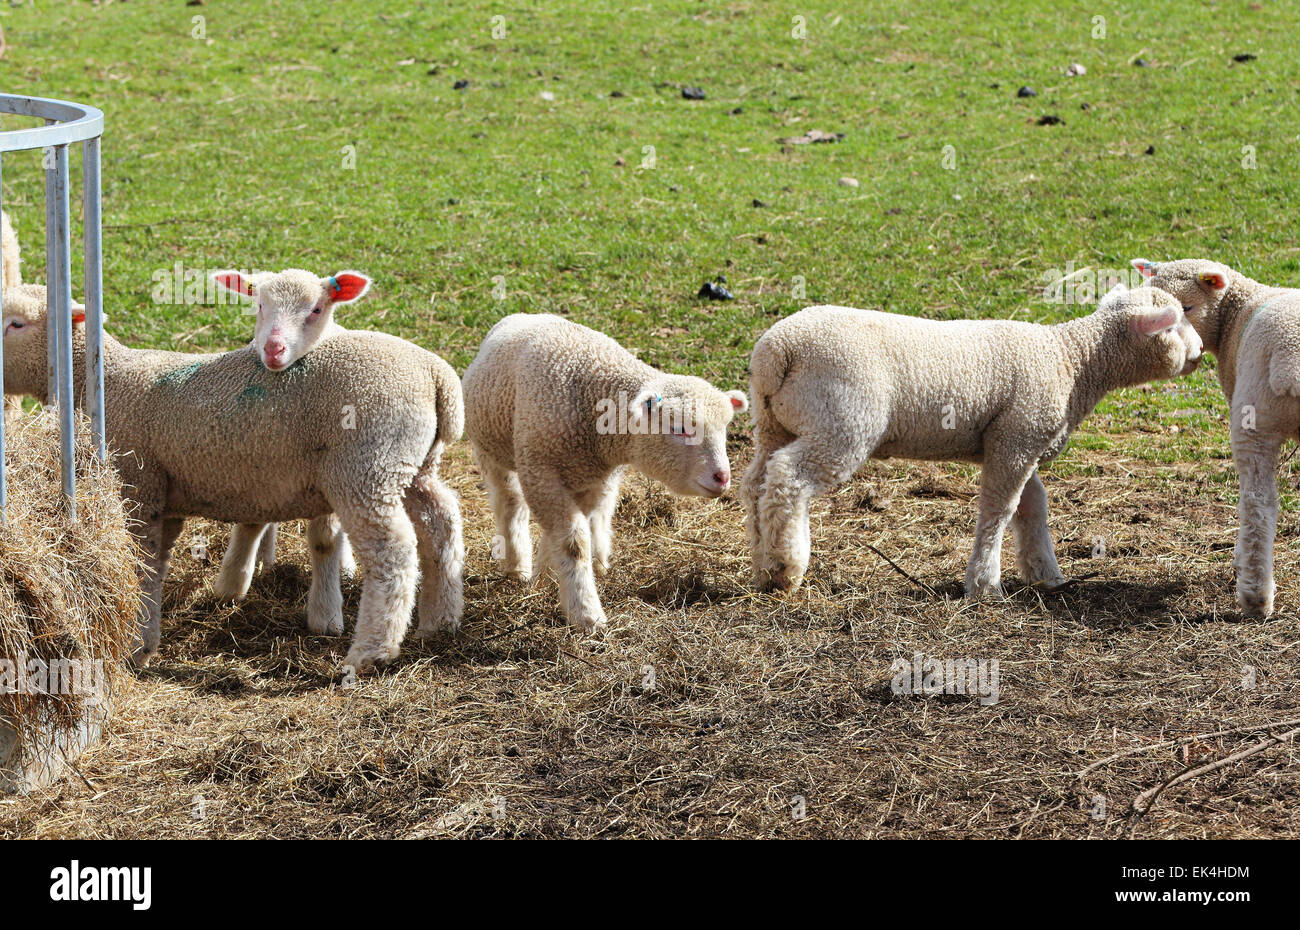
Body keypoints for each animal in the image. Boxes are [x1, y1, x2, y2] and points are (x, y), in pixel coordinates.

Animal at [0, 282, 467, 671]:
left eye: (16, 323)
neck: (100, 377)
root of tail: (436, 374)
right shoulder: (164, 495)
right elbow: (157, 564)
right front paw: (145, 640)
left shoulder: (140, 486)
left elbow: (142, 565)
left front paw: (135, 645)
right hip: (411, 465)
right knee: (440, 522)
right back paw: (440, 620)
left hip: (367, 467)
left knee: (394, 551)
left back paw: (372, 650)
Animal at [465, 313, 754, 632]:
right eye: (679, 428)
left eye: (725, 428)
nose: (722, 477)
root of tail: (527, 314)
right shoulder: (541, 472)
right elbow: (573, 543)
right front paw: (586, 613)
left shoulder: (590, 479)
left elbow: (569, 535)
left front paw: (550, 579)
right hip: (492, 451)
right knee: (510, 503)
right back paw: (516, 566)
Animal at [748, 283, 1201, 600]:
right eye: (1176, 322)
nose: (1199, 348)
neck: (1072, 359)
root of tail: (777, 350)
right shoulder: (1017, 439)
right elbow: (1000, 510)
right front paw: (985, 585)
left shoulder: (1017, 440)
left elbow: (1033, 507)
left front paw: (1046, 574)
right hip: (843, 422)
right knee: (788, 479)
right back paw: (785, 568)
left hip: (775, 422)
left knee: (757, 483)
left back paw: (762, 564)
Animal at [1128, 256, 1300, 619]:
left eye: (1188, 307)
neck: (1237, 310)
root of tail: (1290, 361)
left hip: (1252, 421)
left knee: (1257, 505)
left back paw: (1254, 596)